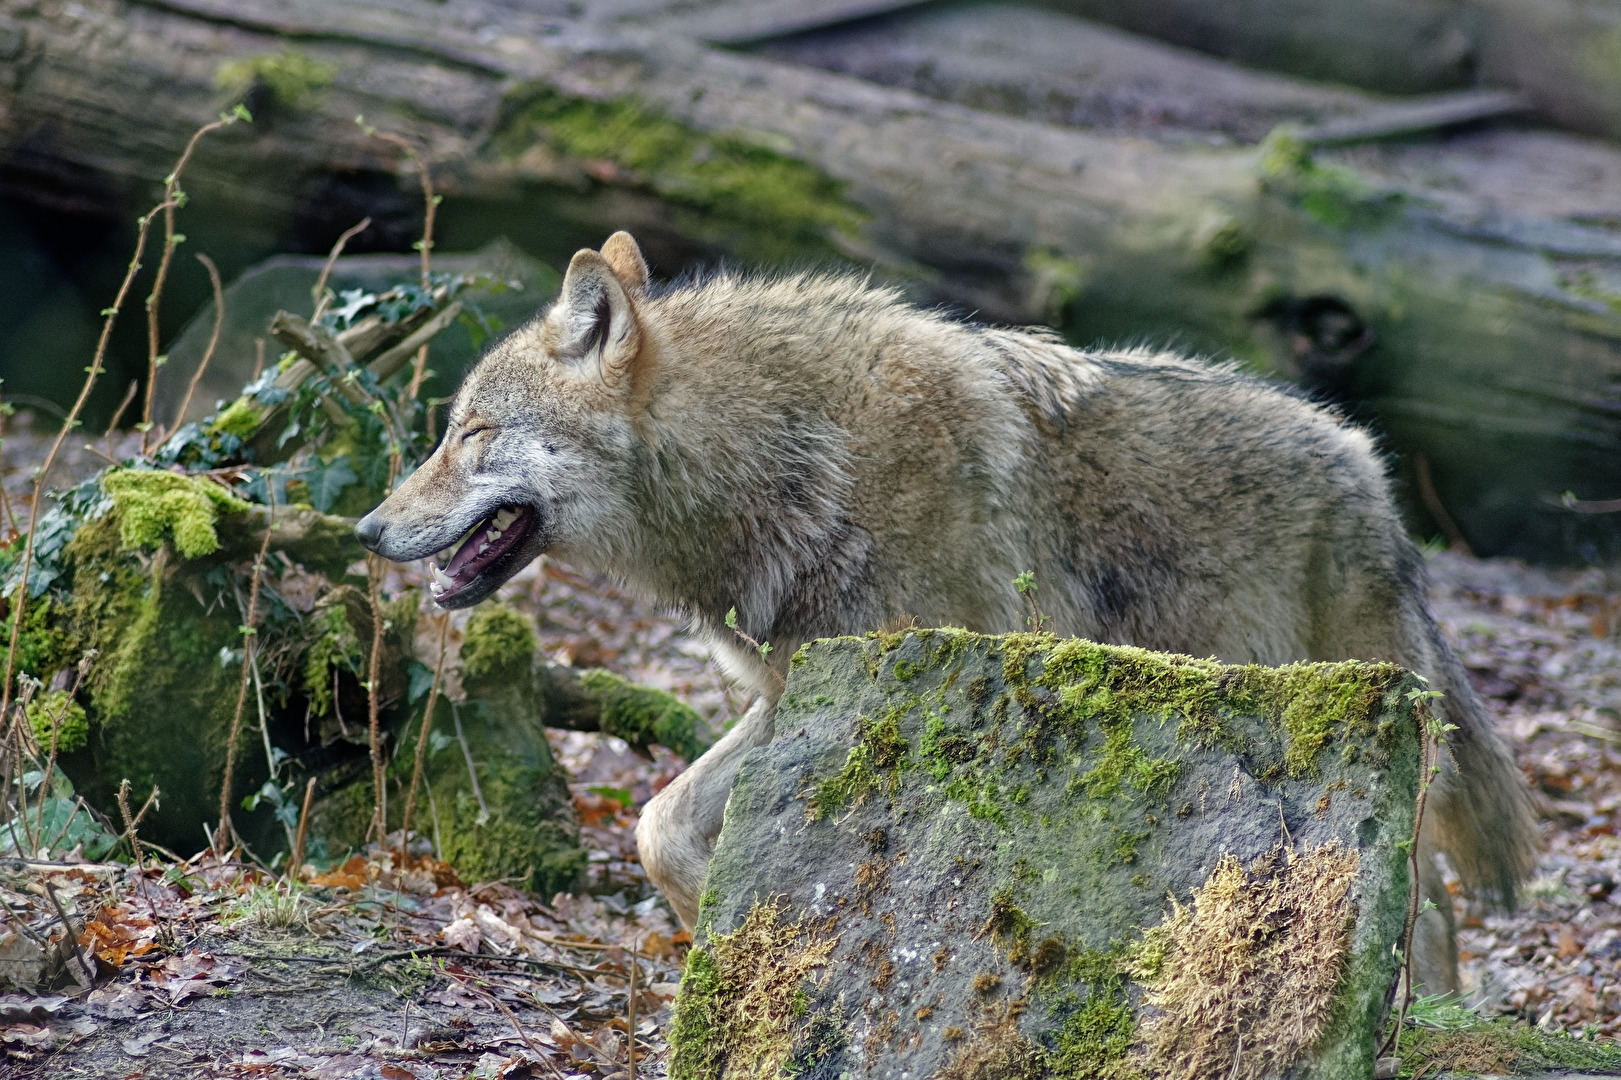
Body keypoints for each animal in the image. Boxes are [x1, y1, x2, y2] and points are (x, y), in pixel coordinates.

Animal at [356, 231, 1536, 991]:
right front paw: (706, 938)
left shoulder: (888, 678)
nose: (366, 528)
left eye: (468, 434)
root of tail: (1369, 470)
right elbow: (659, 826)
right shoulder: (797, 686)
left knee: (1426, 900)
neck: (777, 456)